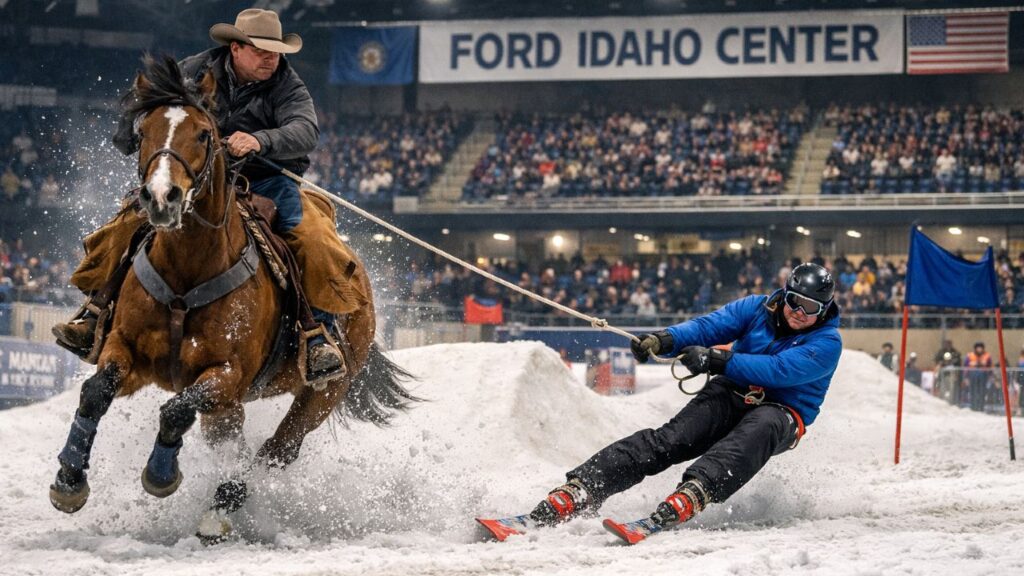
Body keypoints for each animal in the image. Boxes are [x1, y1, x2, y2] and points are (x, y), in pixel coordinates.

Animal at [49, 55, 414, 539]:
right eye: (144, 132)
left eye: (205, 133)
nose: (162, 198)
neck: (187, 272)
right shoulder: (126, 351)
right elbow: (95, 391)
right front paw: (69, 481)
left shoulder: (226, 374)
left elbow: (175, 409)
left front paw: (160, 477)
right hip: (233, 407)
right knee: (234, 441)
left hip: (323, 392)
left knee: (277, 449)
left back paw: (223, 505)